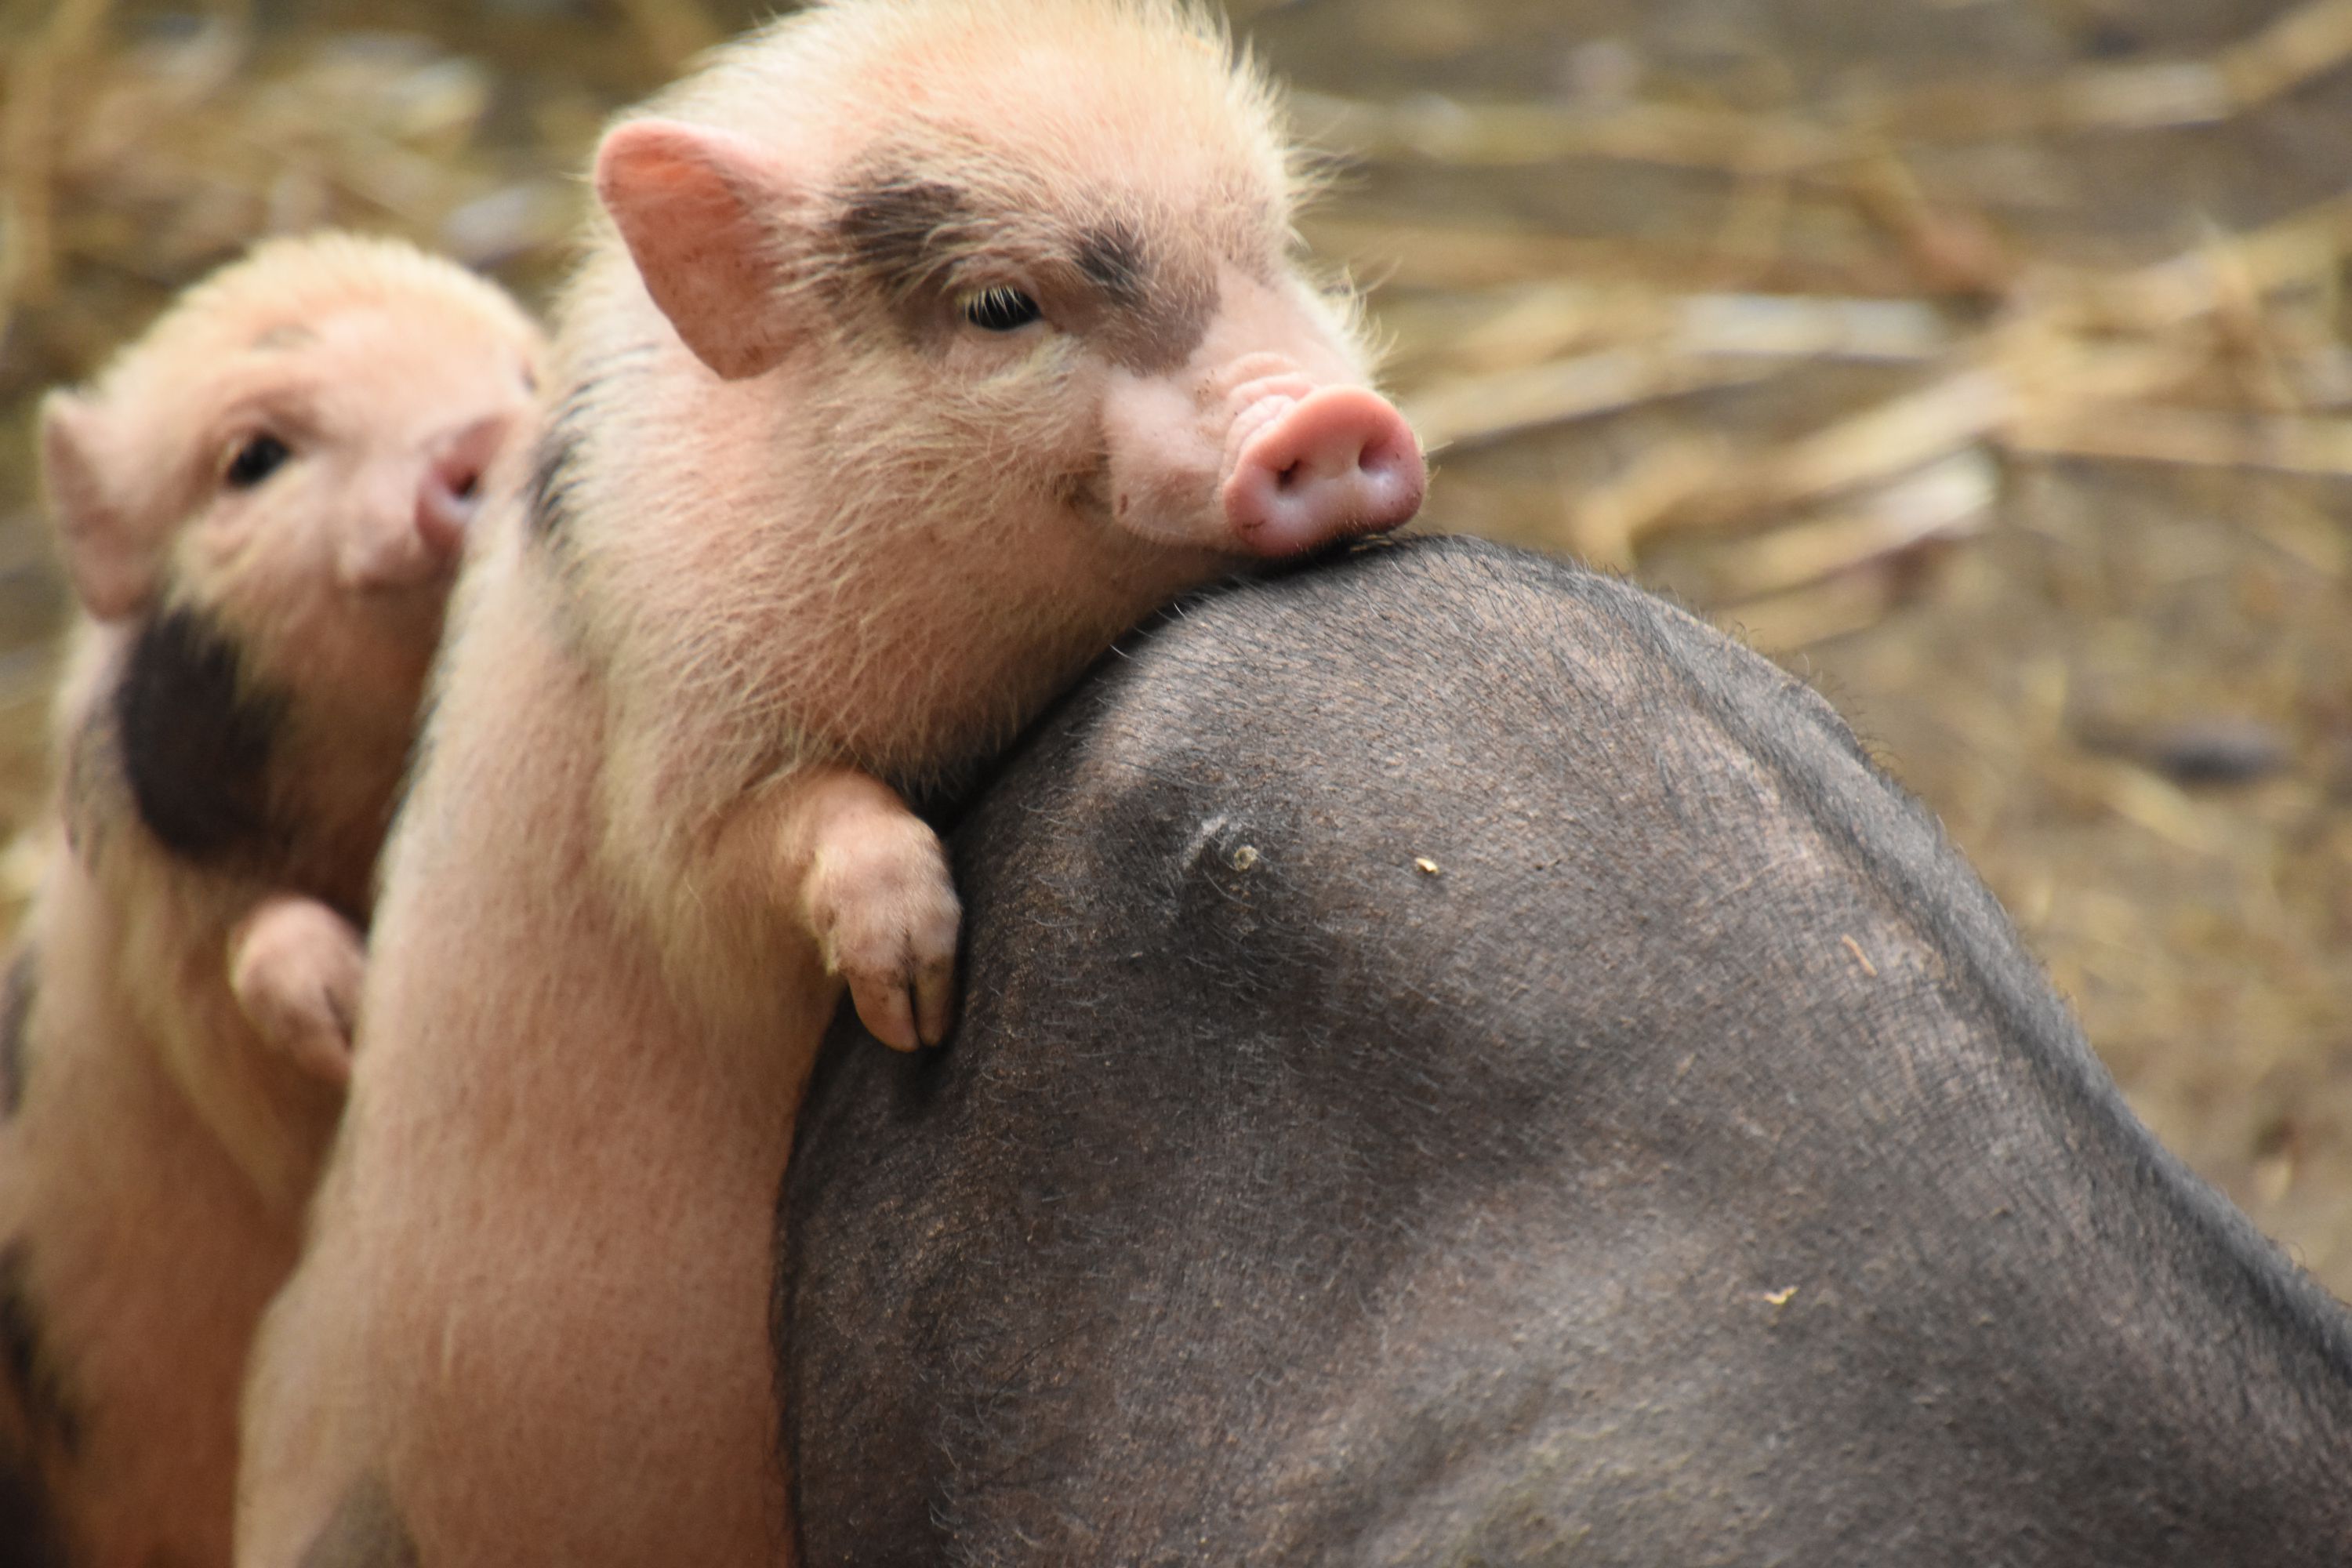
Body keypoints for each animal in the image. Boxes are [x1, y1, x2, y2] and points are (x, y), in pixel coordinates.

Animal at [0, 232, 543, 1568]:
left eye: (523, 373)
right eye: (253, 458)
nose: (481, 430)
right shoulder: (182, 939)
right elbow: (274, 1004)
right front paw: (345, 1005)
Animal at [233, 2, 1425, 1563]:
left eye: (1270, 245)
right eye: (1001, 307)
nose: (1328, 418)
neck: (990, 665)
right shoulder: (675, 730)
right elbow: (747, 859)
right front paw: (916, 1000)